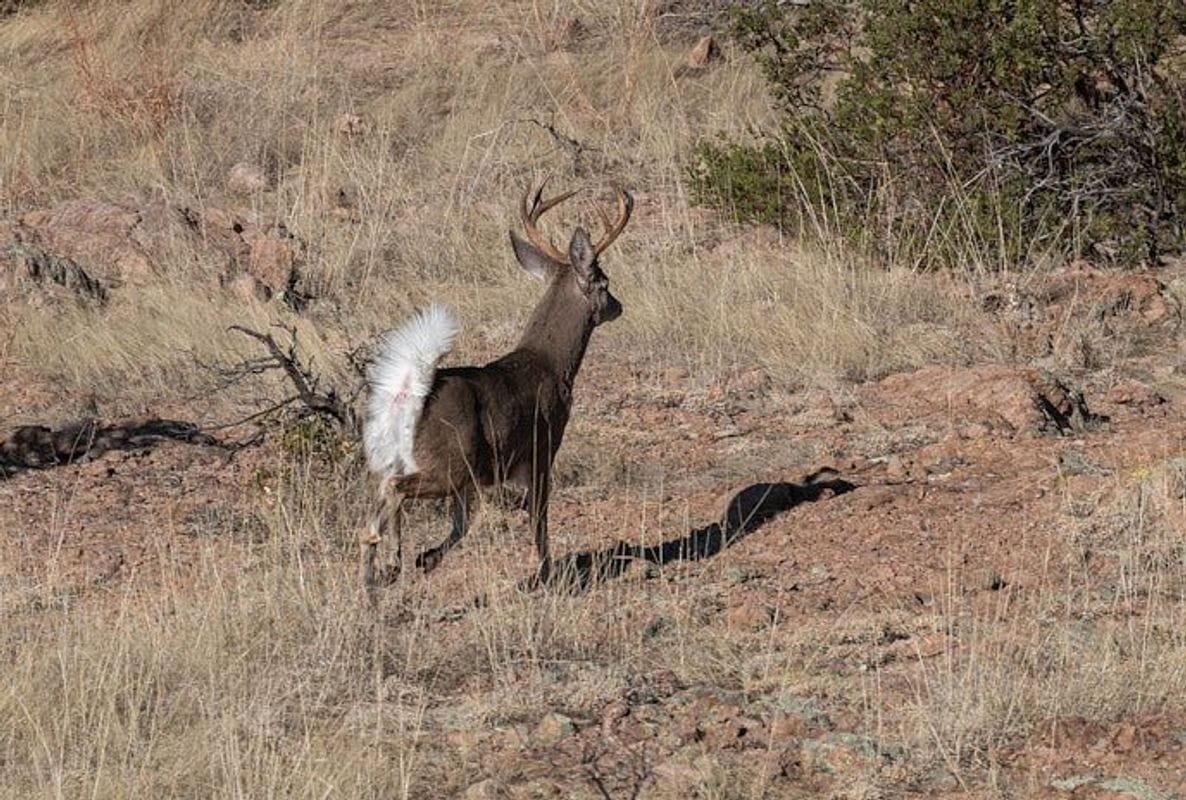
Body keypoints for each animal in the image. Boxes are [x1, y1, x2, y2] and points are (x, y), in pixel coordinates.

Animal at [360, 180, 633, 590]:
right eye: (605, 282)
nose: (617, 305)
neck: (551, 365)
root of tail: (406, 398)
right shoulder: (542, 447)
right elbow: (539, 521)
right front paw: (547, 575)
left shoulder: (476, 480)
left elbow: (462, 525)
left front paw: (429, 558)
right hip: (448, 462)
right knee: (392, 490)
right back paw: (390, 563)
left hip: (423, 461)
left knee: (375, 505)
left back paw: (374, 574)